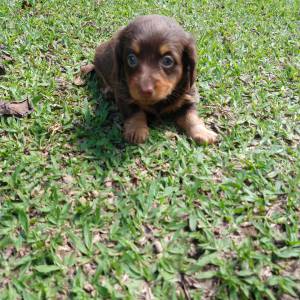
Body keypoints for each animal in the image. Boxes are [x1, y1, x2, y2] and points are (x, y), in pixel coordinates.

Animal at [92, 14, 217, 144]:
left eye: (167, 61)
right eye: (131, 59)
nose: (145, 90)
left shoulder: (188, 96)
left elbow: (191, 115)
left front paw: (202, 132)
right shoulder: (123, 94)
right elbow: (135, 112)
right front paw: (137, 130)